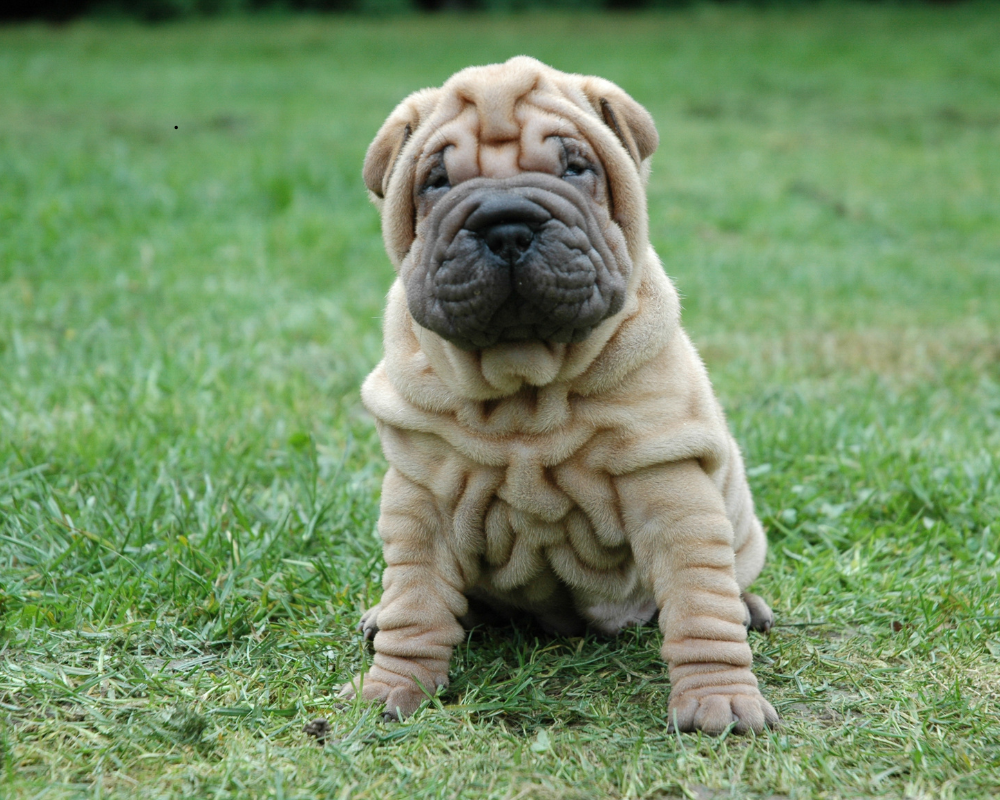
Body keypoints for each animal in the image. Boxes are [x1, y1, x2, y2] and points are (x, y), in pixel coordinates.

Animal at [344, 53, 780, 736]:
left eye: (575, 169)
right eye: (436, 182)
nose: (505, 224)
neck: (526, 389)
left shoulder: (669, 485)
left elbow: (699, 605)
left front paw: (720, 701)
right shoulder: (421, 499)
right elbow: (416, 603)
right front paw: (391, 688)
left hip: (743, 529)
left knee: (729, 583)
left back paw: (751, 608)